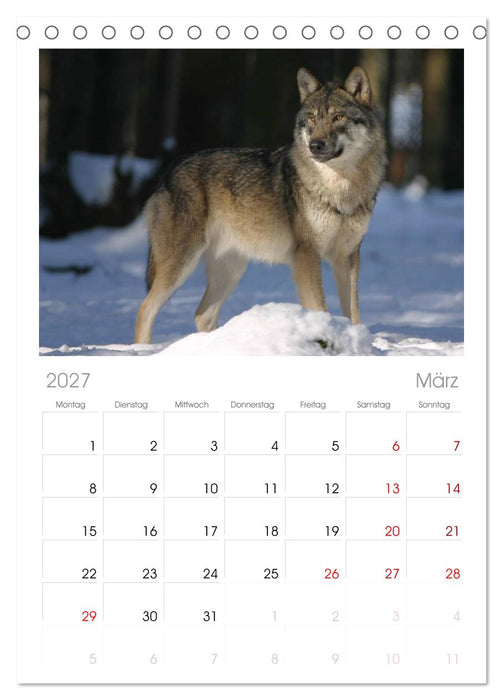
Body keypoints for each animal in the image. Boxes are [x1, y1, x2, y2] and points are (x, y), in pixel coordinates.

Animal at [135, 66, 386, 344]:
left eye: (338, 117)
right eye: (311, 118)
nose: (315, 146)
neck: (341, 188)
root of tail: (168, 172)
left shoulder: (348, 256)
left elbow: (353, 312)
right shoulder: (307, 255)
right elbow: (320, 306)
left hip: (231, 270)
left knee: (202, 314)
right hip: (181, 265)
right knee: (145, 308)